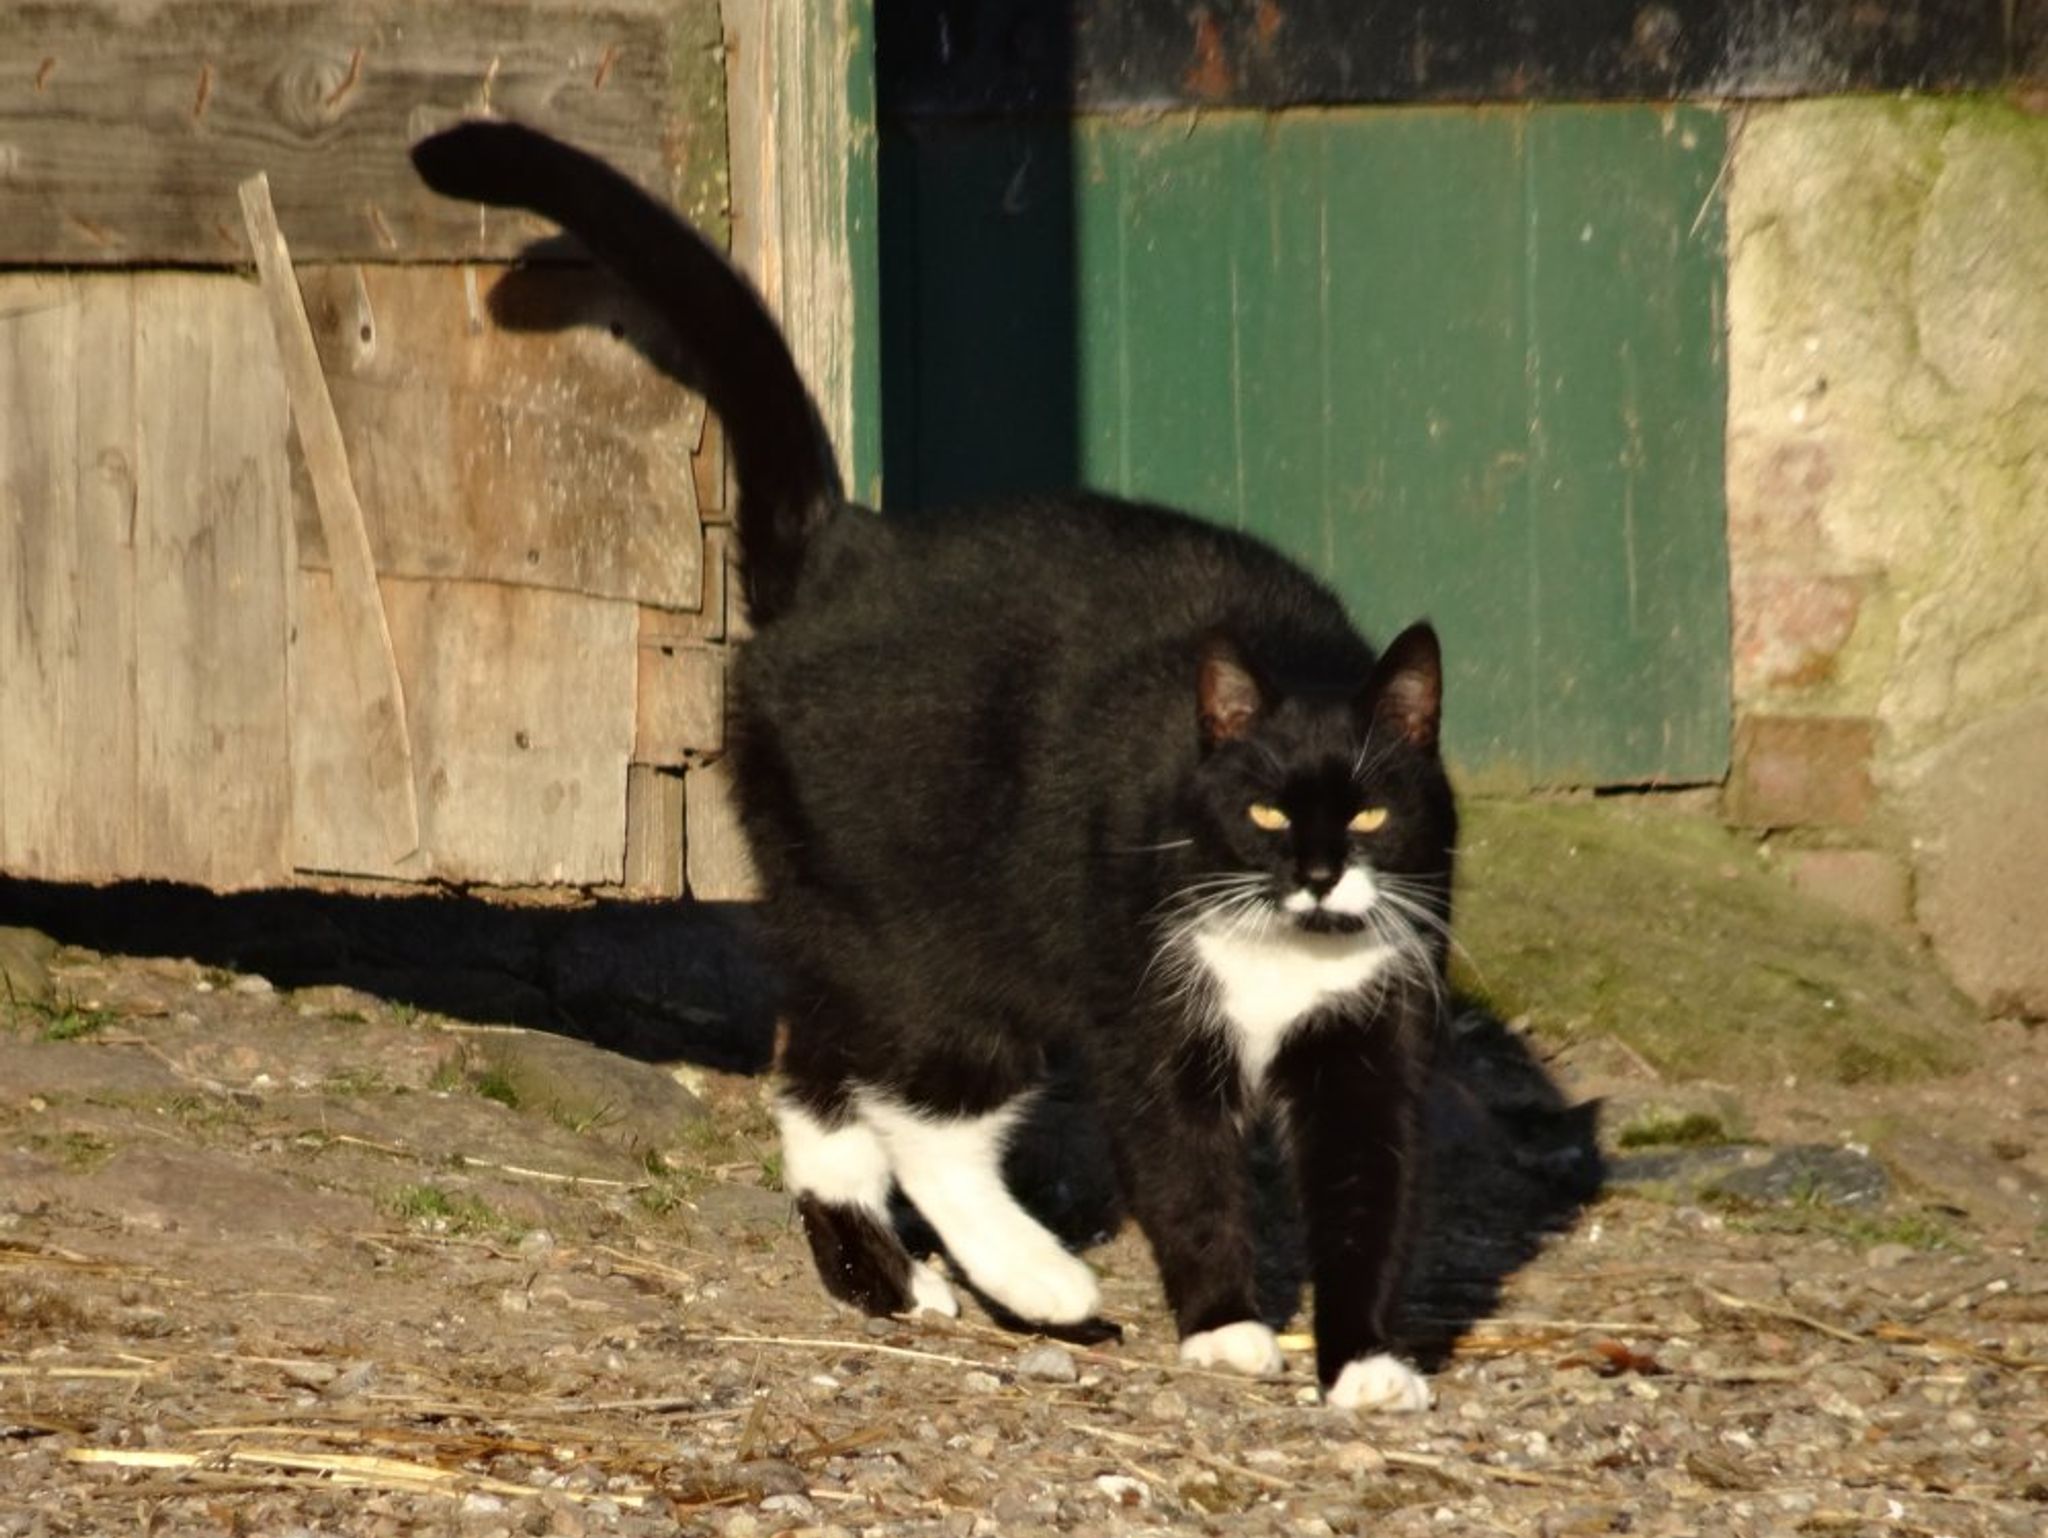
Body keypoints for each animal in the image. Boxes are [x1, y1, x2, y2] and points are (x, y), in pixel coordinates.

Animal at [407, 126, 1449, 1417]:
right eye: (1261, 810)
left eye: (1368, 811)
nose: (1313, 874)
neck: (1278, 953)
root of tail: (843, 549)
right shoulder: (1144, 1010)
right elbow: (1182, 1165)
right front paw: (1222, 1326)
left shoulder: (1367, 1031)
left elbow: (1369, 1188)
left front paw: (1362, 1360)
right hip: (942, 927)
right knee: (923, 1112)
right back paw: (1039, 1278)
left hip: (844, 912)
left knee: (817, 1070)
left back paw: (887, 1275)